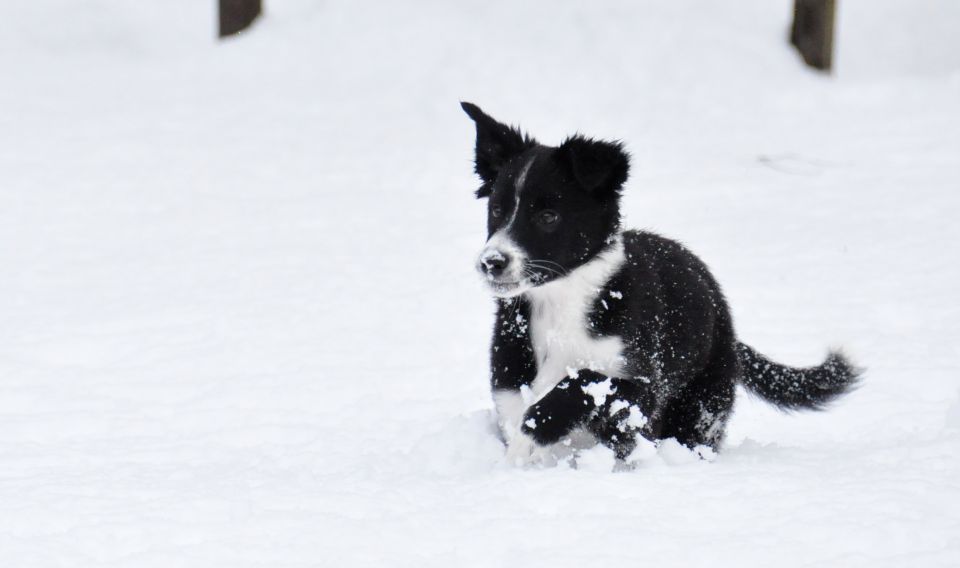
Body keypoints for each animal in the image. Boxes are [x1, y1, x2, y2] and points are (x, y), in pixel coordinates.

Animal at [462, 102, 860, 466]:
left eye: (548, 216)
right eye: (496, 210)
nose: (492, 263)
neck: (561, 302)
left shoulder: (637, 384)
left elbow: (579, 383)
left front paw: (528, 439)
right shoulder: (510, 374)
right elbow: (519, 407)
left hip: (700, 406)